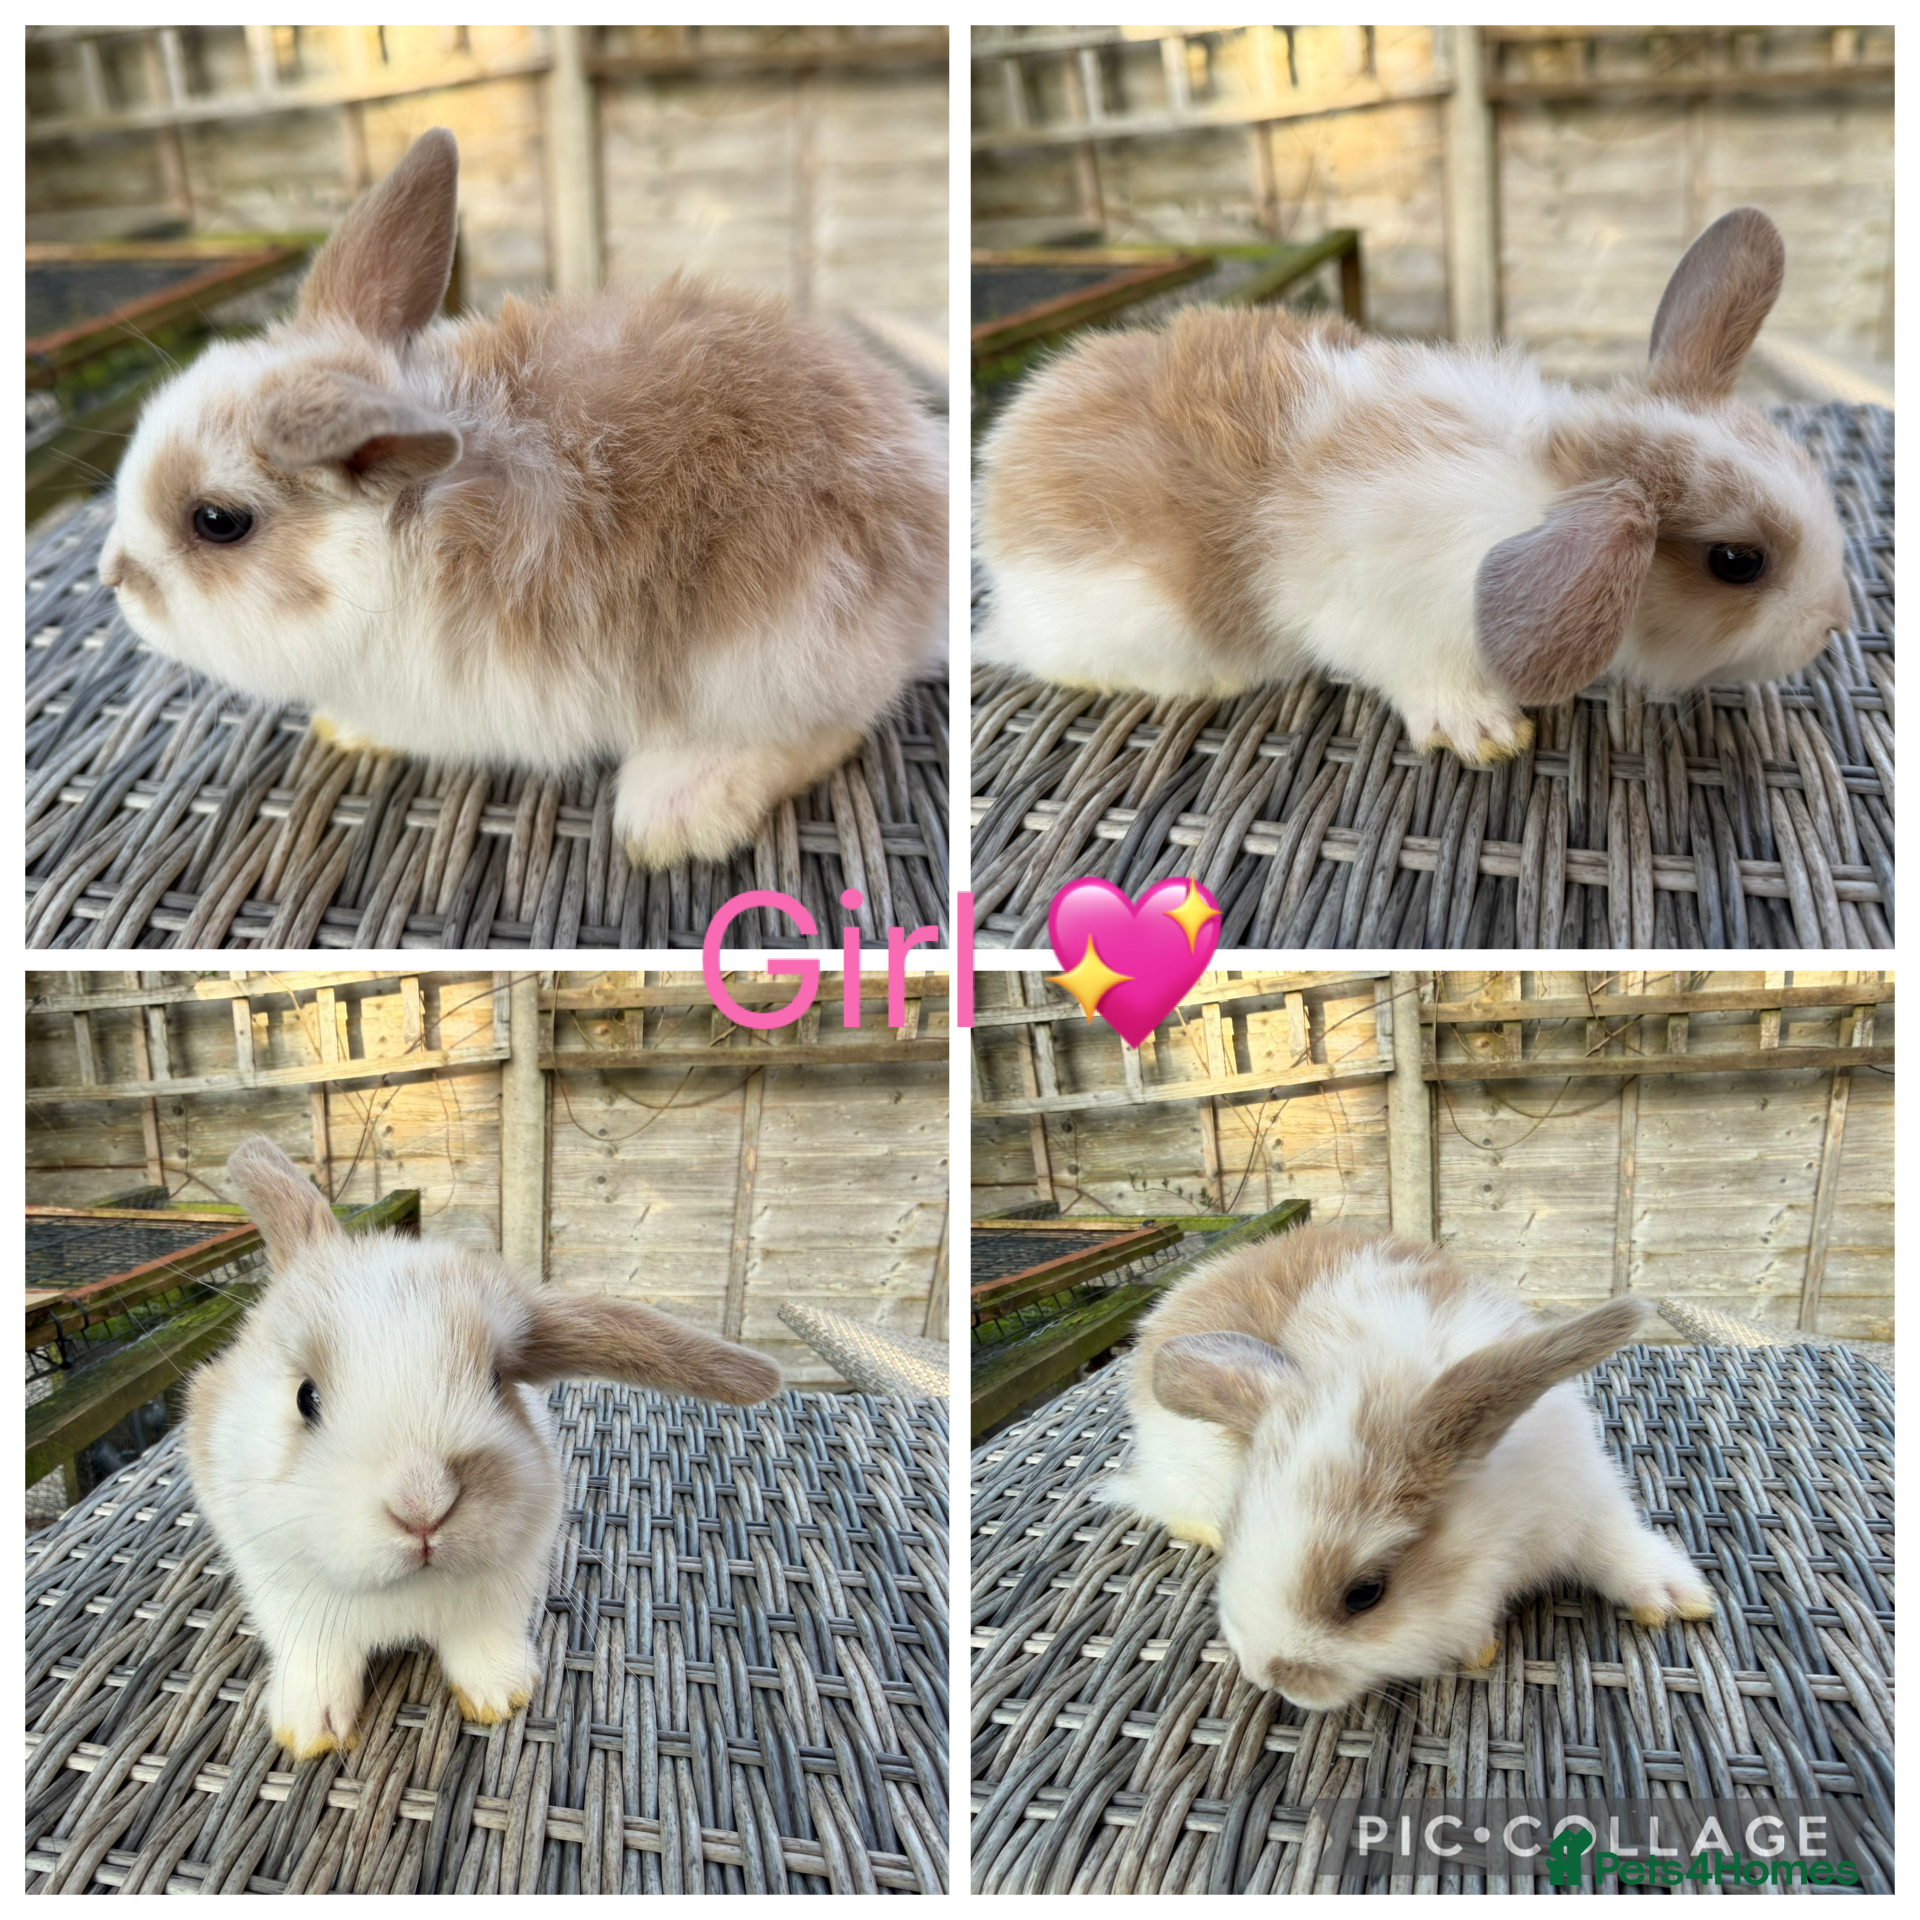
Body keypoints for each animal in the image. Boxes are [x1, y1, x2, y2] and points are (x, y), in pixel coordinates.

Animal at [98, 128, 947, 870]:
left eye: (217, 522)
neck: (408, 532)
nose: (114, 578)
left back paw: (672, 816)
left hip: (767, 647)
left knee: (826, 729)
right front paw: (345, 730)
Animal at [183, 1136, 781, 1760]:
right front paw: (310, 1732)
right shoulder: (274, 1581)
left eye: (497, 1382)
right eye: (306, 1397)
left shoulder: (506, 1586)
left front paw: (501, 1696)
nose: (422, 1506)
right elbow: (315, 1654)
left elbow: (482, 1639)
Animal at [1093, 1227, 1714, 1712]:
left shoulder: (1579, 1497)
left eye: (1365, 1594)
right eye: (1242, 1525)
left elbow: (1614, 1545)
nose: (1266, 1675)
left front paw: (1675, 1599)